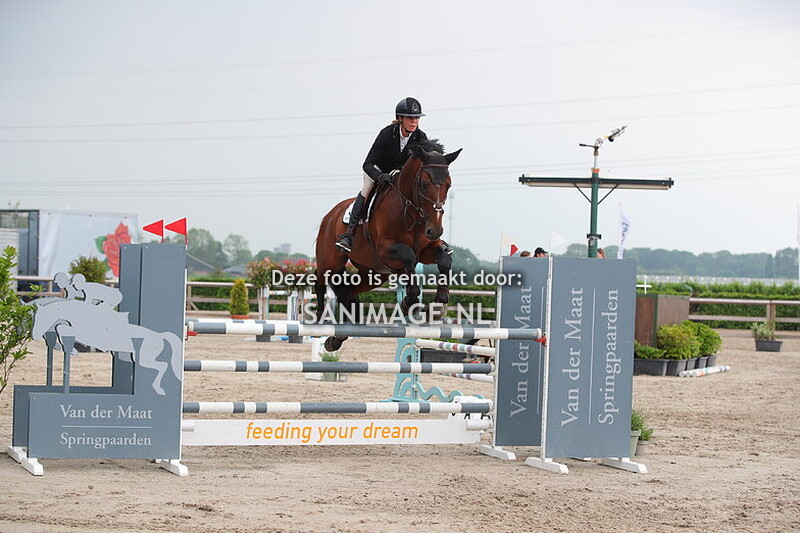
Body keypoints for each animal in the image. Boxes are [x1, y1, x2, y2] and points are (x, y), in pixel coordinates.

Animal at [30, 297, 183, 395]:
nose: (35, 335)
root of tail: (159, 335)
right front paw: (65, 347)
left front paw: (72, 349)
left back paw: (158, 389)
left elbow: (61, 328)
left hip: (144, 359)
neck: (81, 315)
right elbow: (61, 328)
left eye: (40, 318)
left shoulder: (85, 334)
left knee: (162, 366)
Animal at [315, 139, 461, 352]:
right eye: (424, 184)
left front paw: (437, 306)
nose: (435, 231)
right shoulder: (386, 249)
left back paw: (338, 337)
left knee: (345, 291)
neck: (411, 212)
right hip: (330, 261)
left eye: (448, 185)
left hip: (374, 274)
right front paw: (408, 303)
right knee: (318, 280)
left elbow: (444, 259)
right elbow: (409, 256)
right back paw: (318, 321)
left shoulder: (426, 250)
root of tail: (330, 214)